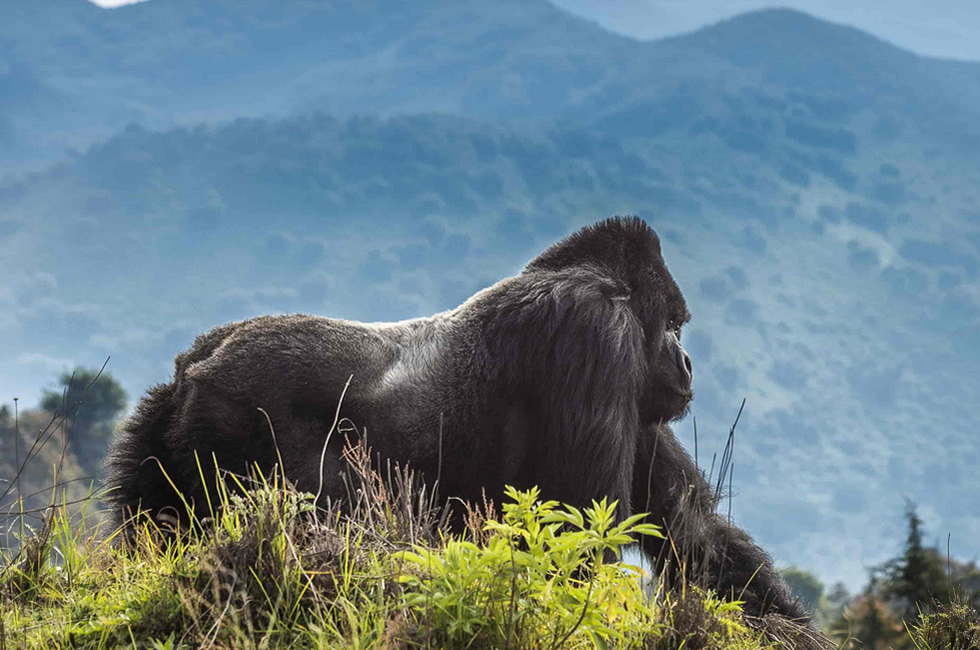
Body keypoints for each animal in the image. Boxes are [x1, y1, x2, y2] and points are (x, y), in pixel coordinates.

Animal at [103, 216, 808, 616]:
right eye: (677, 327)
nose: (687, 364)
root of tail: (191, 365)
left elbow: (695, 534)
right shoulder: (597, 337)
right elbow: (582, 529)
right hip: (234, 416)